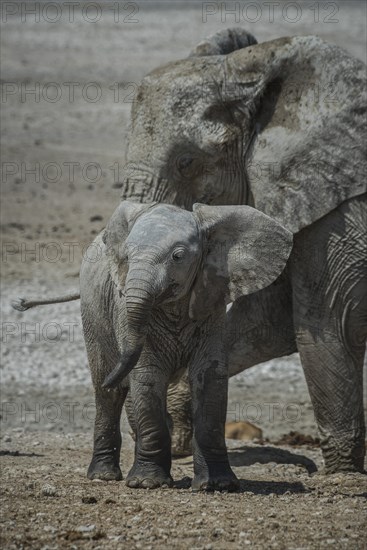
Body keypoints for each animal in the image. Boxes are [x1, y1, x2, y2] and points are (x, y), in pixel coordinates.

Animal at [82, 202, 294, 492]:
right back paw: (103, 476)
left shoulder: (213, 300)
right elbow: (147, 375)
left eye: (178, 257)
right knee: (108, 393)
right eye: (127, 255)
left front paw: (217, 484)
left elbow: (210, 378)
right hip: (93, 313)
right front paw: (147, 483)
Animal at [121, 29, 367, 474]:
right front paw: (178, 430)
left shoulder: (339, 210)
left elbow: (334, 321)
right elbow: (274, 321)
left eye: (187, 162)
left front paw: (343, 472)